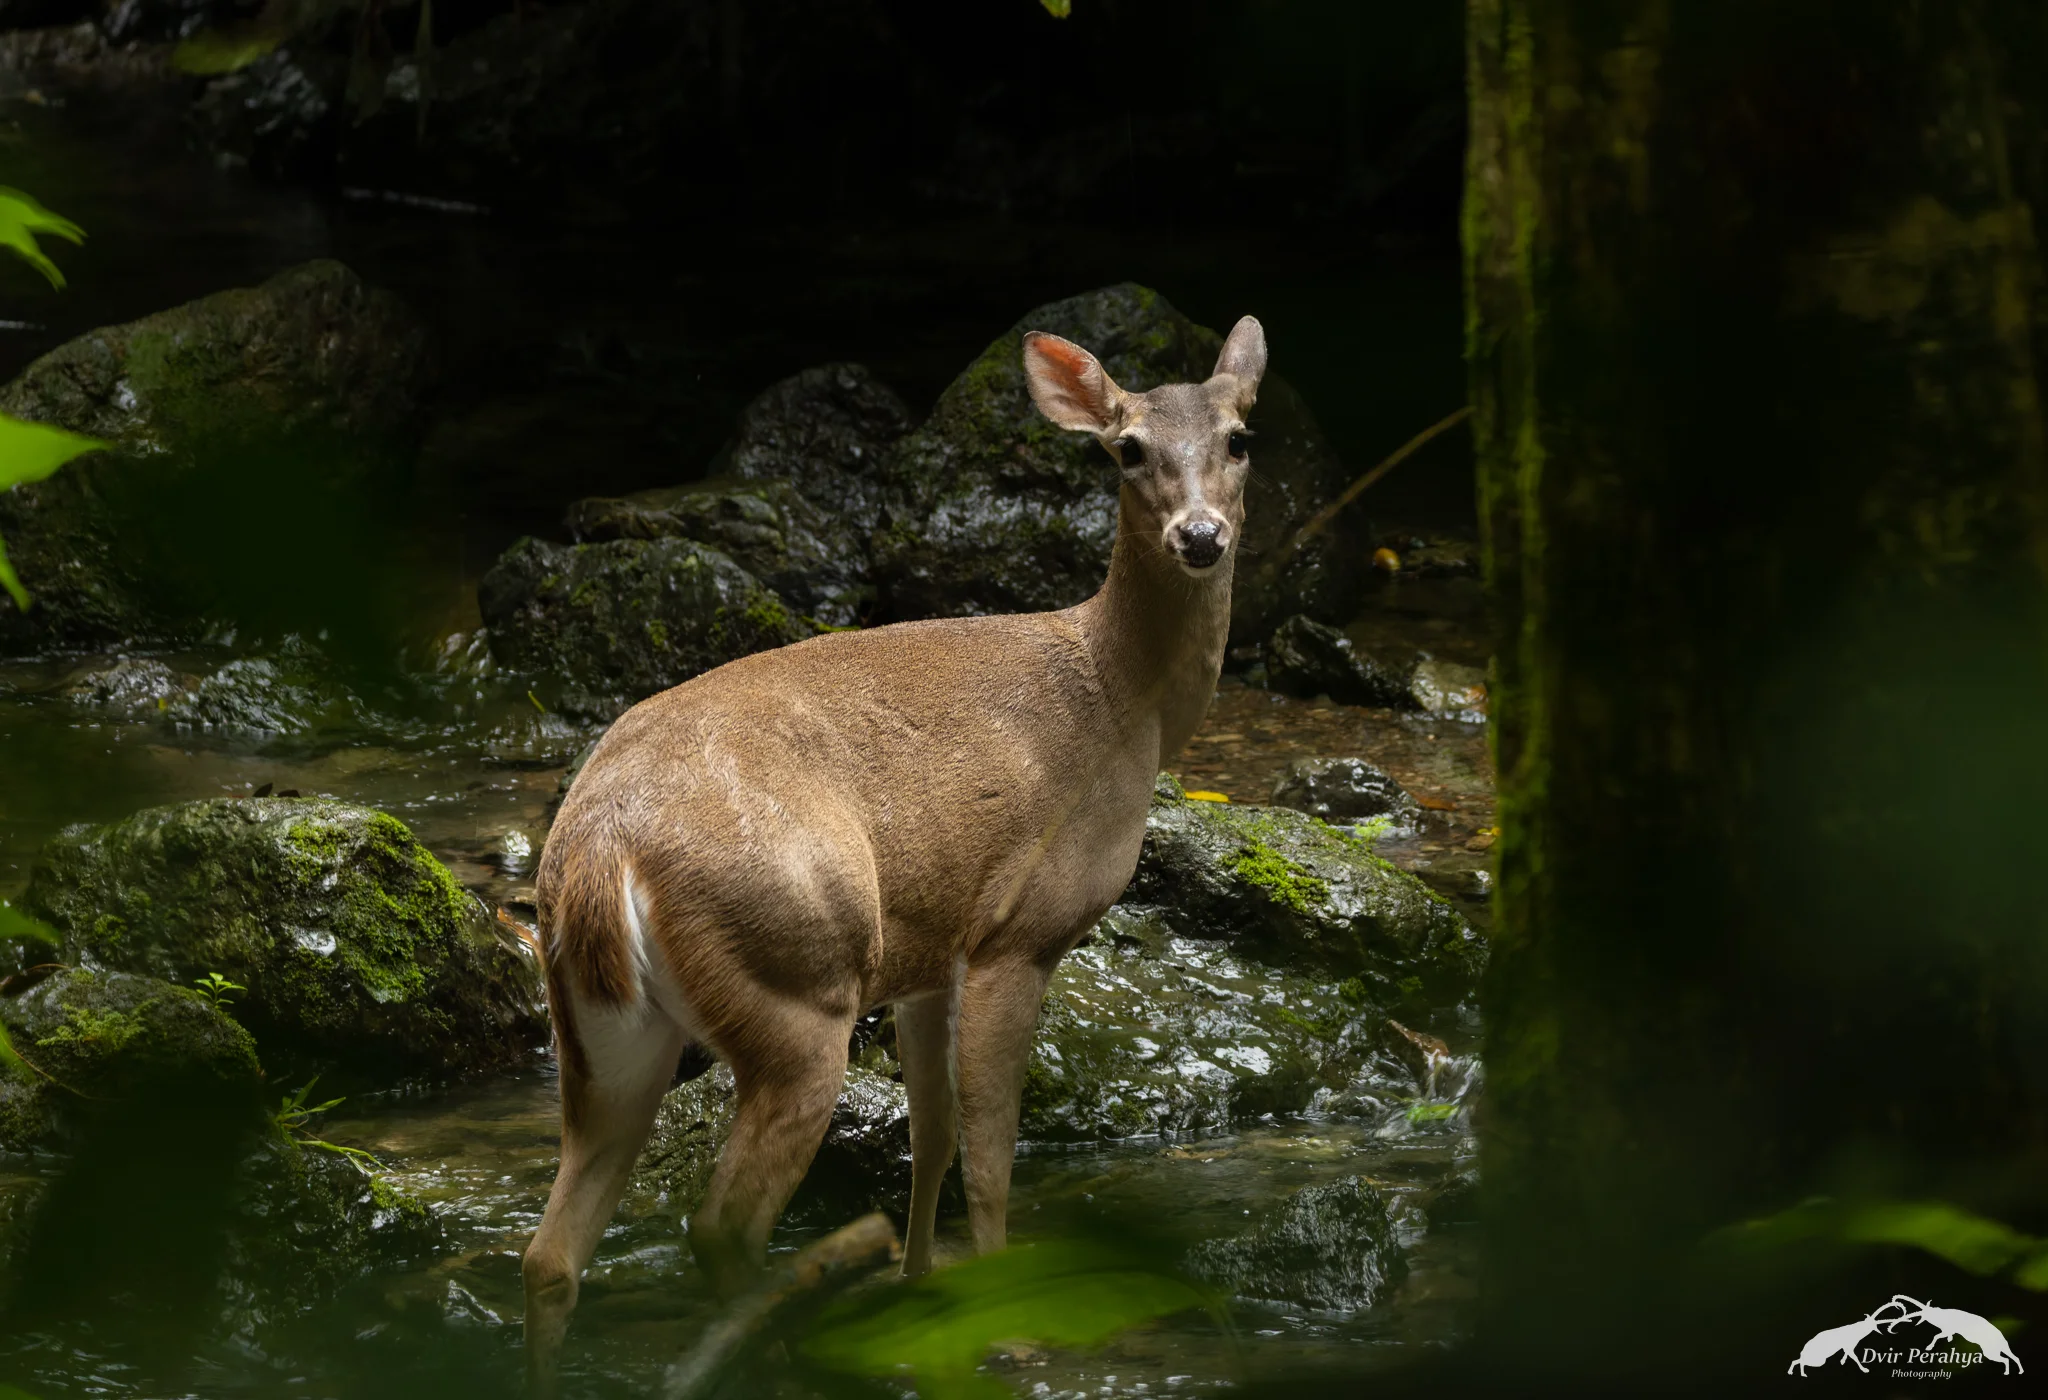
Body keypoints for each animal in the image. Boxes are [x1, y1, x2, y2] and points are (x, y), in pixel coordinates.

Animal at [520, 316, 1269, 1391]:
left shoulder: (928, 949)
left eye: (1240, 437)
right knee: (719, 1224)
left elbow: (934, 1135)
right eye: (1126, 449)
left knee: (552, 1251)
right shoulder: (1016, 931)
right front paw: (1008, 1321)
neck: (1125, 698)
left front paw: (927, 1294)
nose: (1201, 536)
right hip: (797, 980)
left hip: (604, 1031)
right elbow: (991, 1152)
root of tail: (596, 849)